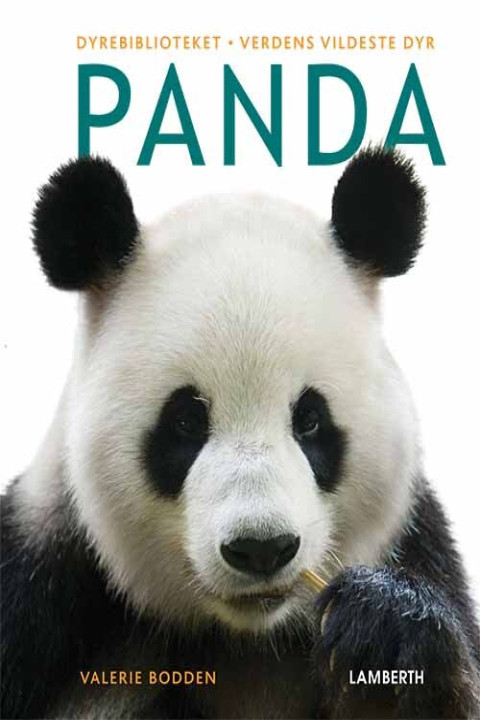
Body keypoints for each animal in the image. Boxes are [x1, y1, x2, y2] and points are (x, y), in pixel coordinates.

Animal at [1, 147, 479, 720]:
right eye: (185, 421)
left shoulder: (416, 542)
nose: (262, 549)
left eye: (310, 419)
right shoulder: (39, 584)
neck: (246, 637)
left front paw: (386, 630)